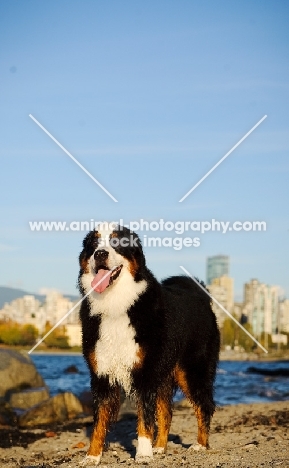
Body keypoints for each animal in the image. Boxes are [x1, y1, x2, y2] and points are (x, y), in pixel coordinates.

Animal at [77, 223, 219, 464]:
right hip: (164, 374)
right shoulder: (102, 375)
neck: (115, 305)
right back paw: (160, 447)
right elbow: (99, 423)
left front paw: (143, 453)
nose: (100, 254)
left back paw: (200, 444)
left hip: (192, 371)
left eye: (117, 242)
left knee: (204, 406)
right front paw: (92, 456)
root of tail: (200, 295)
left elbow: (144, 419)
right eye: (94, 244)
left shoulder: (145, 373)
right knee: (167, 412)